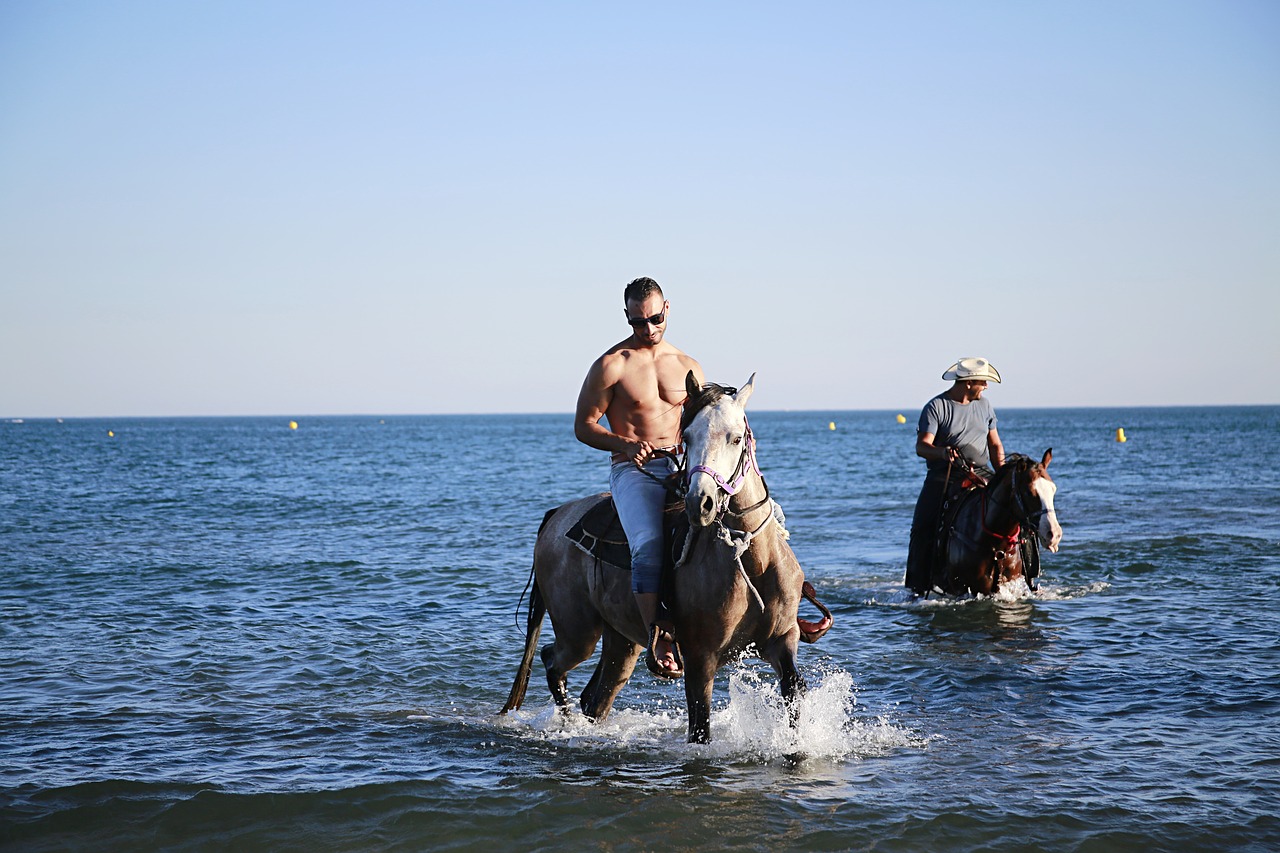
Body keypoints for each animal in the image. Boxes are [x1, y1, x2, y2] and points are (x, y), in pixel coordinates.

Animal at [499, 371, 829, 737]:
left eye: (736, 438)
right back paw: (568, 724)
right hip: (578, 632)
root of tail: (557, 516)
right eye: (687, 435)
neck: (752, 561)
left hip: (621, 642)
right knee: (552, 662)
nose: (701, 502)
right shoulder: (700, 659)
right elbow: (700, 730)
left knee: (596, 696)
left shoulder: (783, 643)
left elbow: (794, 704)